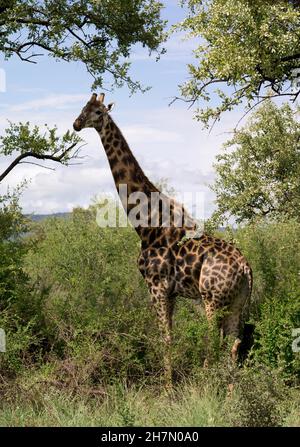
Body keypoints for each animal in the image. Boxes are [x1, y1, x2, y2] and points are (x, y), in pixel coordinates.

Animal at [73, 93, 253, 384]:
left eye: (98, 112)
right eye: (83, 108)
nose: (76, 123)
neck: (146, 224)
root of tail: (246, 269)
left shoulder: (156, 286)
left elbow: (165, 338)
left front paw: (167, 387)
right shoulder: (172, 292)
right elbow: (171, 335)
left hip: (211, 297)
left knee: (215, 339)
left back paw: (206, 383)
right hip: (236, 300)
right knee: (234, 343)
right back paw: (228, 391)